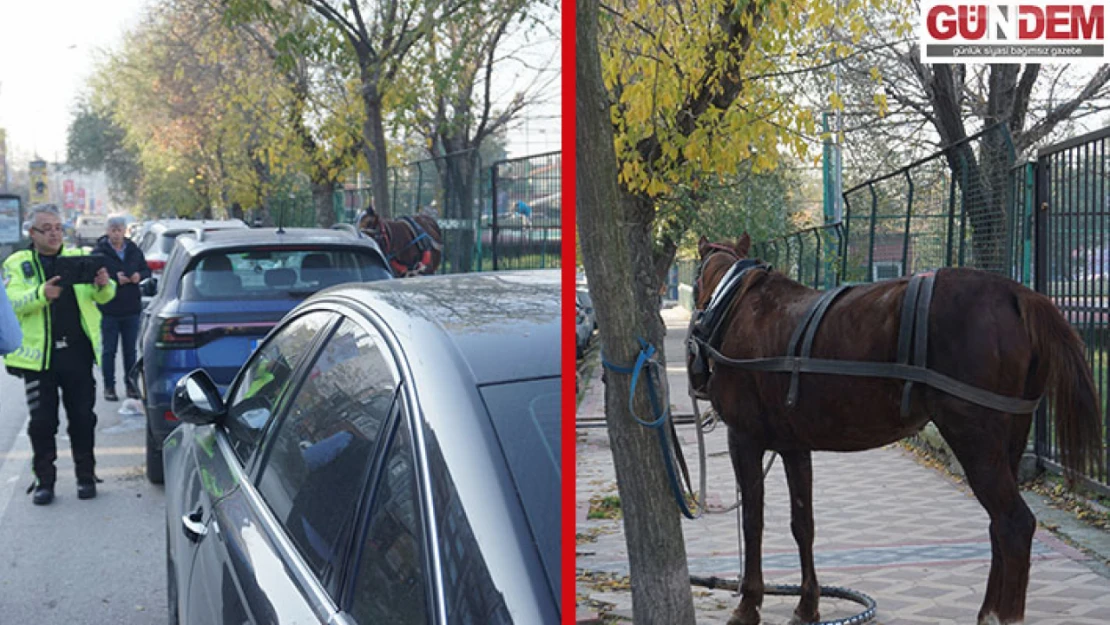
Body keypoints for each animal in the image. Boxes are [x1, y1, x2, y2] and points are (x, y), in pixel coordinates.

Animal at [692, 232, 1101, 621]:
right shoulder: (794, 445)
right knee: (998, 524)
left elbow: (752, 521)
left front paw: (748, 603)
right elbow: (802, 523)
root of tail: (1018, 294)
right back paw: (988, 611)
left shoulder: (743, 438)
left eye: (695, 279)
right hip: (1011, 437)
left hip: (974, 438)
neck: (736, 303)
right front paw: (808, 605)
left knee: (1014, 524)